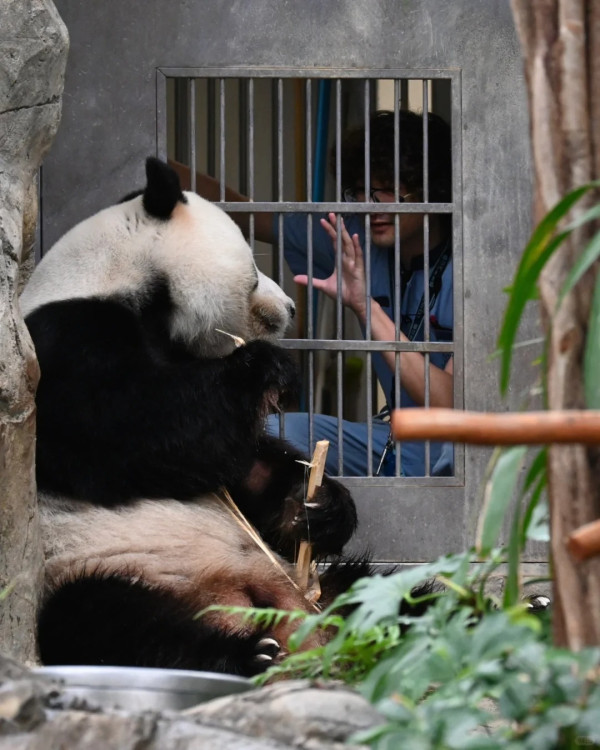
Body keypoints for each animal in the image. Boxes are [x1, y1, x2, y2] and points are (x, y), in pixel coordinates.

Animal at [21, 157, 368, 676]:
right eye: (253, 275)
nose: (289, 307)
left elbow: (238, 465)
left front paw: (319, 504)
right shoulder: (59, 348)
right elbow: (142, 428)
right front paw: (268, 366)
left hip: (323, 594)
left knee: (384, 591)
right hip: (98, 567)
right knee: (107, 622)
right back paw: (244, 654)